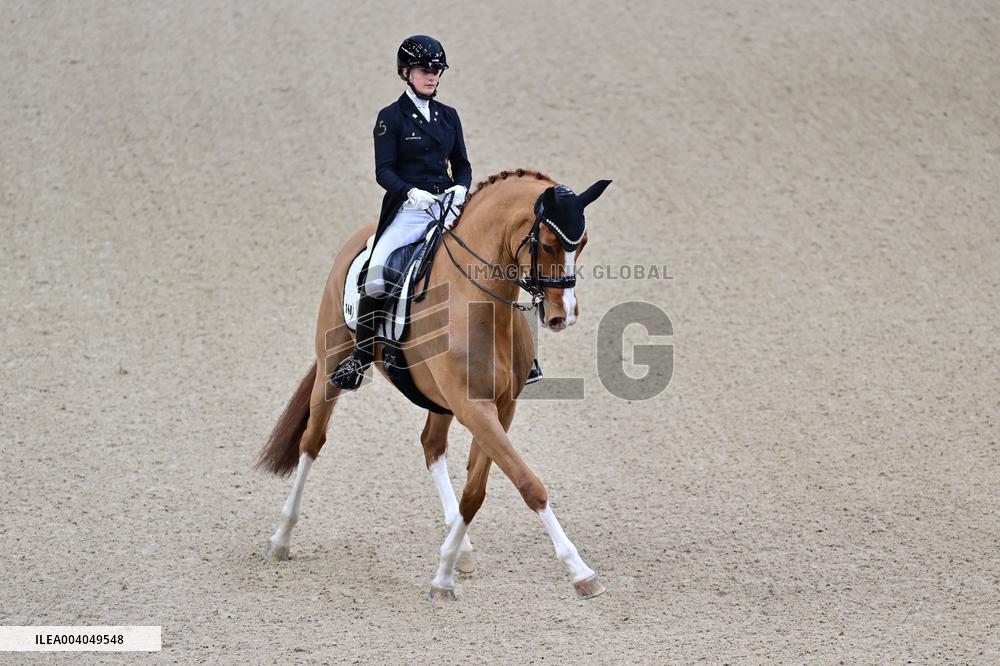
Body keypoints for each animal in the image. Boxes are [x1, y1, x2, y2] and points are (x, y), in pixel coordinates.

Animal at [255, 168, 612, 602]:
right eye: (546, 244)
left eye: (584, 243)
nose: (565, 315)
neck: (479, 304)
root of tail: (361, 236)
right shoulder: (474, 408)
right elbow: (528, 483)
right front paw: (580, 572)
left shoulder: (498, 408)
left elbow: (475, 493)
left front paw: (445, 571)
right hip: (330, 370)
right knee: (311, 443)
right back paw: (280, 540)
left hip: (439, 401)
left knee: (431, 446)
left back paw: (462, 550)